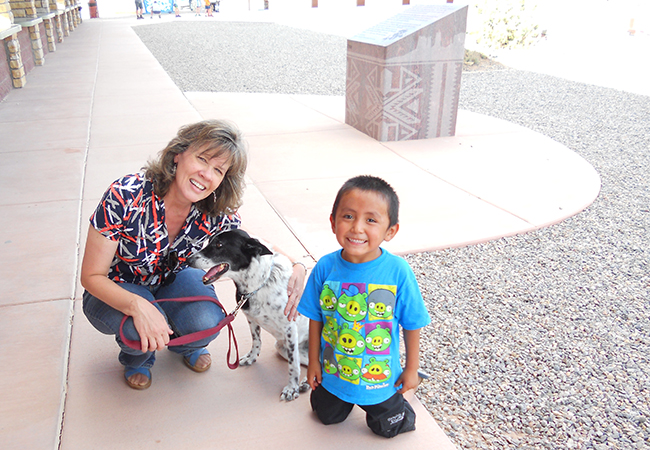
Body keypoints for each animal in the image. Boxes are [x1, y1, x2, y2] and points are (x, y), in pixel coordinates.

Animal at [187, 229, 308, 400]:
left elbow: (293, 365)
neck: (258, 285)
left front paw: (291, 388)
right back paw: (306, 384)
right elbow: (256, 341)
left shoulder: (290, 328)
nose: (188, 260)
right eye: (209, 241)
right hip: (282, 347)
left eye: (219, 244)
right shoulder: (252, 319)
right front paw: (251, 357)